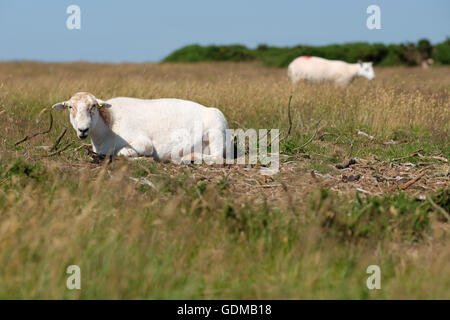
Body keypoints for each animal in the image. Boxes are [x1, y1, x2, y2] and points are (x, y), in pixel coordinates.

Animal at [52, 92, 232, 162]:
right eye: (70, 107)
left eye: (94, 106)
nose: (83, 130)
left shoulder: (144, 143)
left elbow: (125, 152)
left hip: (216, 132)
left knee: (218, 158)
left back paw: (187, 157)